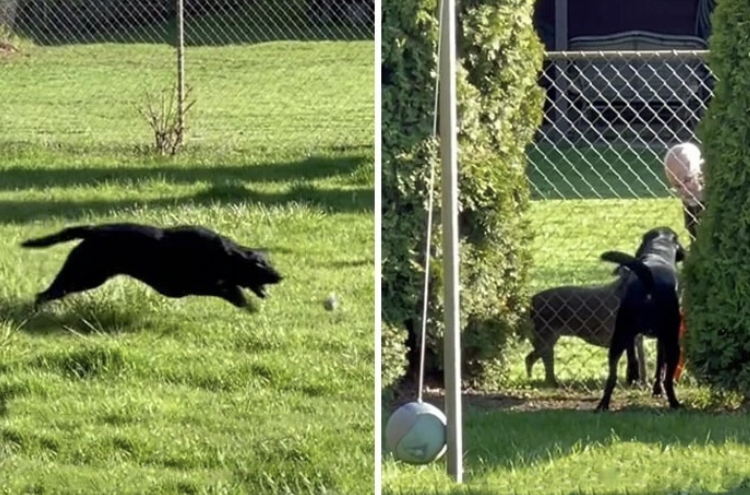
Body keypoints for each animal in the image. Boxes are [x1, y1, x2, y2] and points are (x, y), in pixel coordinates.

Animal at [600, 228, 688, 410]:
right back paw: (675, 403)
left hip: (618, 337)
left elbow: (632, 352)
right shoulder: (663, 339)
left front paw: (633, 375)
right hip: (672, 342)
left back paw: (603, 405)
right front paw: (657, 390)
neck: (658, 251)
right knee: (668, 380)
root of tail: (649, 283)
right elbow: (660, 367)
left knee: (612, 377)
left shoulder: (633, 334)